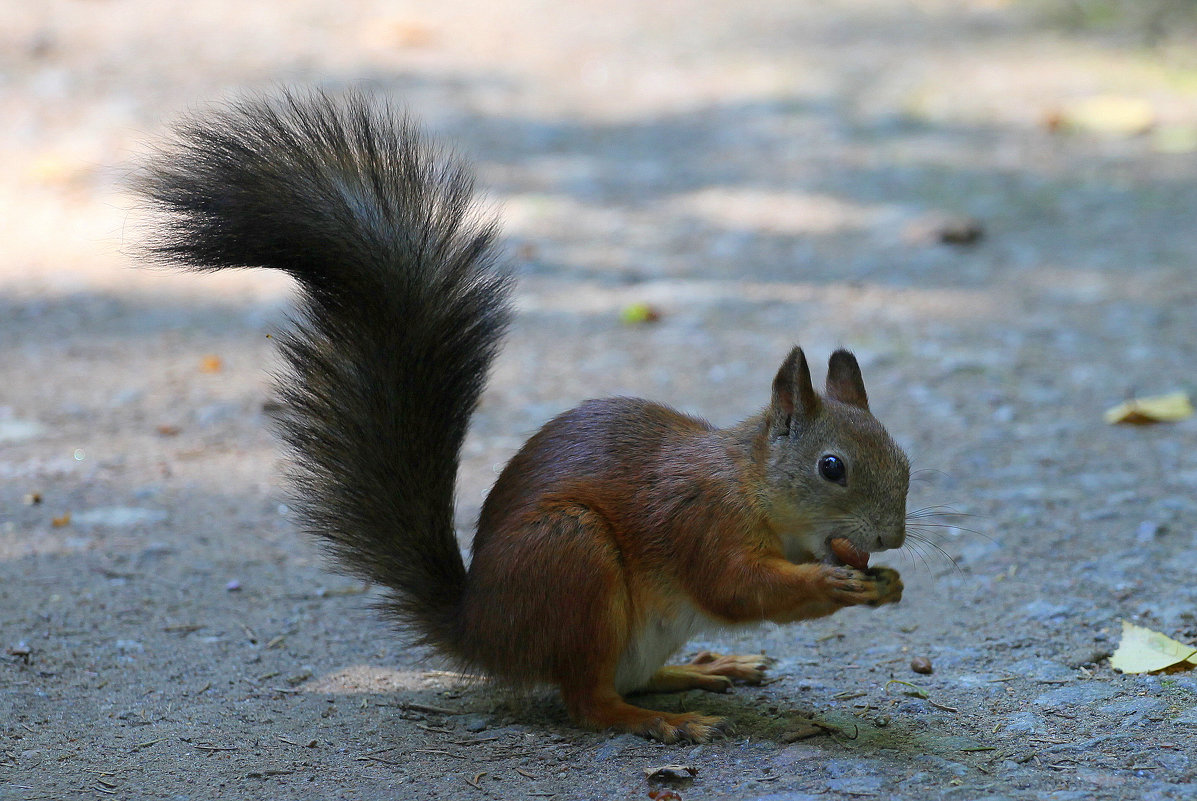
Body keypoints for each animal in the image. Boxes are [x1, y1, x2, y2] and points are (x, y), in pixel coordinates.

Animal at [140, 89, 904, 742]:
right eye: (831, 467)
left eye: (903, 459)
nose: (892, 538)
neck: (750, 483)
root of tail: (482, 630)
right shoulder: (699, 519)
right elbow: (737, 586)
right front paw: (832, 583)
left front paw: (885, 585)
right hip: (572, 560)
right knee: (591, 703)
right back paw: (662, 721)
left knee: (629, 679)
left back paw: (705, 668)